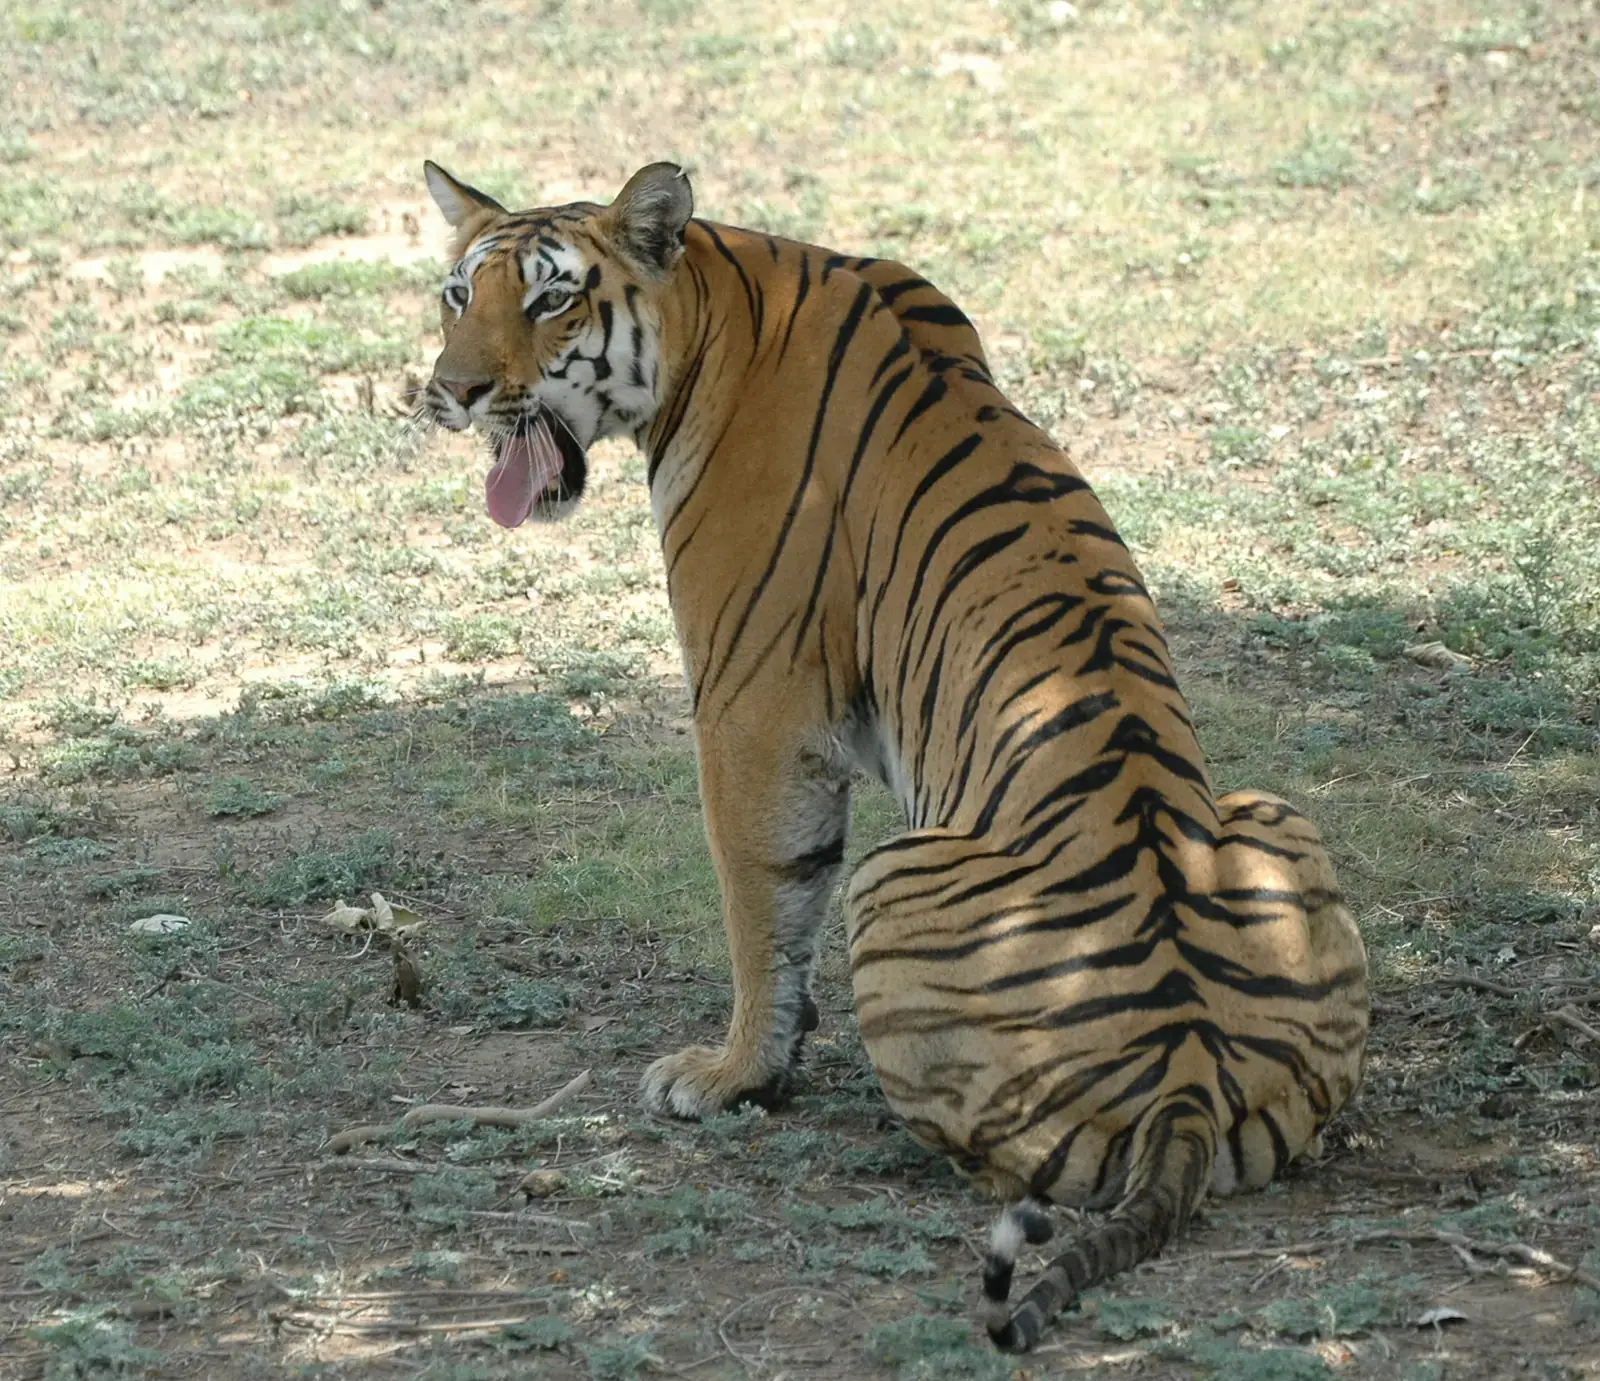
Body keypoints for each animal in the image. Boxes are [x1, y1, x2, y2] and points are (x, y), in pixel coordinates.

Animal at [419, 159, 1370, 1352]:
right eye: (459, 295)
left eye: (551, 299)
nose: (449, 393)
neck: (716, 306)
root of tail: (1190, 1077)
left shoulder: (751, 710)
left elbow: (762, 906)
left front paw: (733, 1073)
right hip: (1276, 813)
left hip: (896, 878)